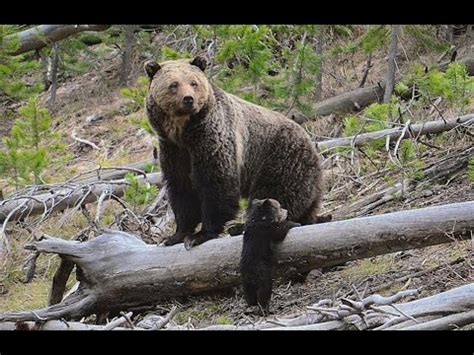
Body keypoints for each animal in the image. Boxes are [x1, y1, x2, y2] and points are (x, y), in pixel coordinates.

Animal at [143, 57, 322, 249]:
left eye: (193, 83)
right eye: (174, 84)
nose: (188, 99)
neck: (183, 132)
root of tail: (312, 145)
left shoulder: (212, 138)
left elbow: (216, 183)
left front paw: (200, 235)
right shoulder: (173, 150)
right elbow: (181, 189)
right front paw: (176, 235)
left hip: (281, 158)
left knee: (275, 194)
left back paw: (241, 226)